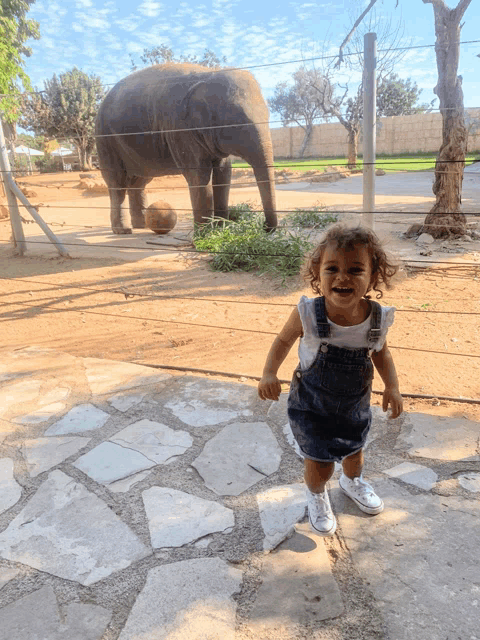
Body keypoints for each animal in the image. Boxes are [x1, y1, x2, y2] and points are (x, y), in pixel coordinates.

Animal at [94, 61, 278, 232]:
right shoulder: (179, 129)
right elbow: (199, 176)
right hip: (105, 139)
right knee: (117, 181)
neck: (209, 74)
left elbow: (224, 173)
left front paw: (220, 230)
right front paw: (205, 237)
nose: (264, 227)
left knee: (140, 180)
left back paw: (142, 226)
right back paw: (123, 230)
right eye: (238, 124)